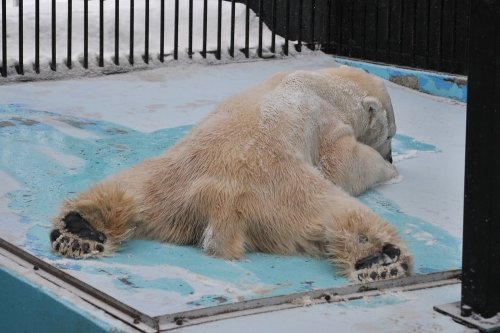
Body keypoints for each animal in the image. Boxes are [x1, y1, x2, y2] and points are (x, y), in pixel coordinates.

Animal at [49, 66, 410, 282]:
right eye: (390, 133)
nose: (392, 153)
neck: (326, 83)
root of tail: (218, 200)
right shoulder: (328, 123)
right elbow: (343, 164)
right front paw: (389, 169)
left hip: (163, 180)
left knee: (123, 190)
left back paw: (81, 229)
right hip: (291, 194)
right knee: (340, 212)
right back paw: (379, 257)